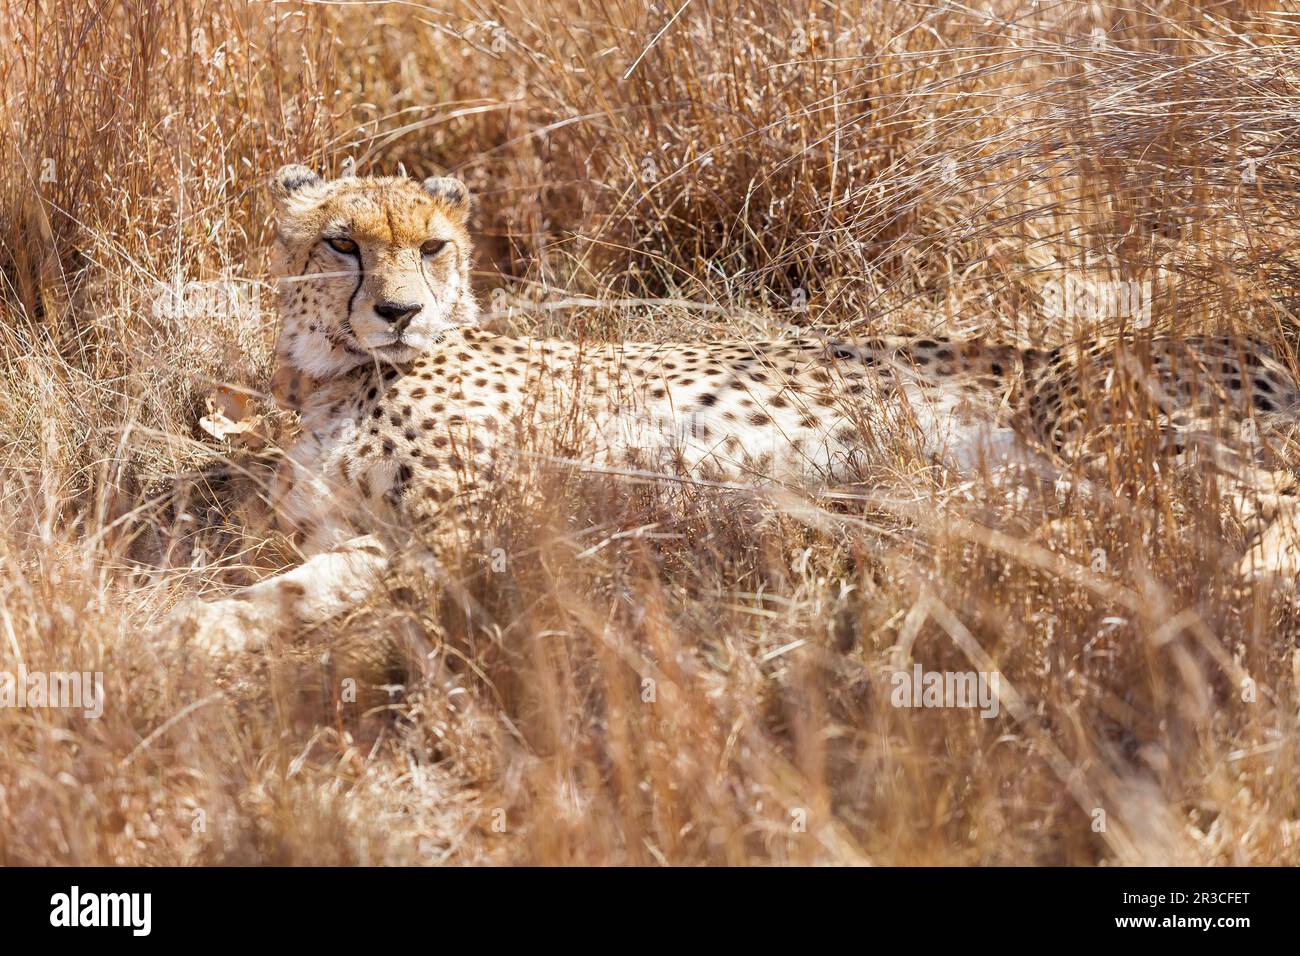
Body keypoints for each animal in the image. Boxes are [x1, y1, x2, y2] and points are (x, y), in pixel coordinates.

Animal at [175, 166, 1300, 658]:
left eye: (433, 246)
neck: (331, 377)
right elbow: (313, 567)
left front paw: (198, 629)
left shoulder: (464, 530)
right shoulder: (358, 523)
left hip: (1115, 427)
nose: (400, 313)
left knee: (1251, 504)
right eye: (342, 242)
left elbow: (316, 585)